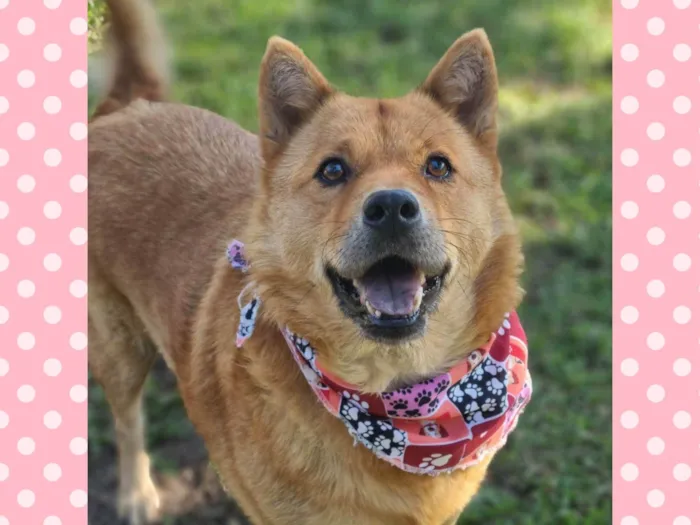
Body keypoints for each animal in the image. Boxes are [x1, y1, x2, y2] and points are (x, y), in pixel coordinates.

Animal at [89, 1, 532, 524]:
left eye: (438, 166)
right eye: (333, 169)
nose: (391, 208)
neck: (399, 395)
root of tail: (131, 106)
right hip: (117, 348)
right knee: (127, 420)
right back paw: (136, 493)